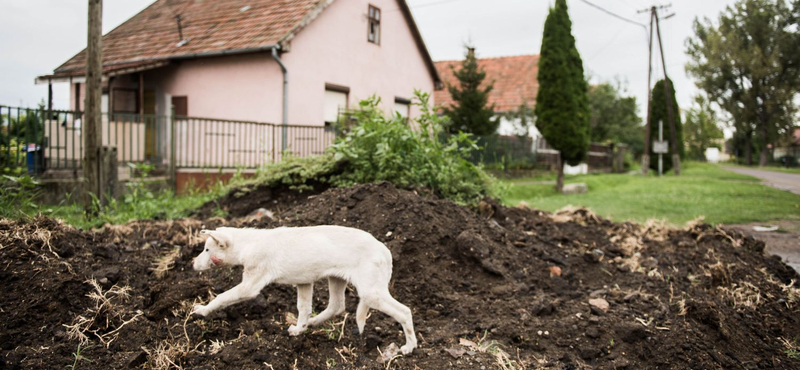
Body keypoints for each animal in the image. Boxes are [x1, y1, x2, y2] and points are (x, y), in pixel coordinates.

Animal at [191, 224, 416, 354]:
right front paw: (299, 329)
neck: (249, 243)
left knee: (404, 312)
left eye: (207, 250)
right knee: (337, 306)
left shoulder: (250, 286)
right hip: (337, 279)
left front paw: (202, 310)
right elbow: (303, 308)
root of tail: (385, 250)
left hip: (371, 293)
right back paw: (312, 323)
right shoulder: (304, 283)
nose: (192, 264)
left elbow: (221, 297)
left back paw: (409, 347)